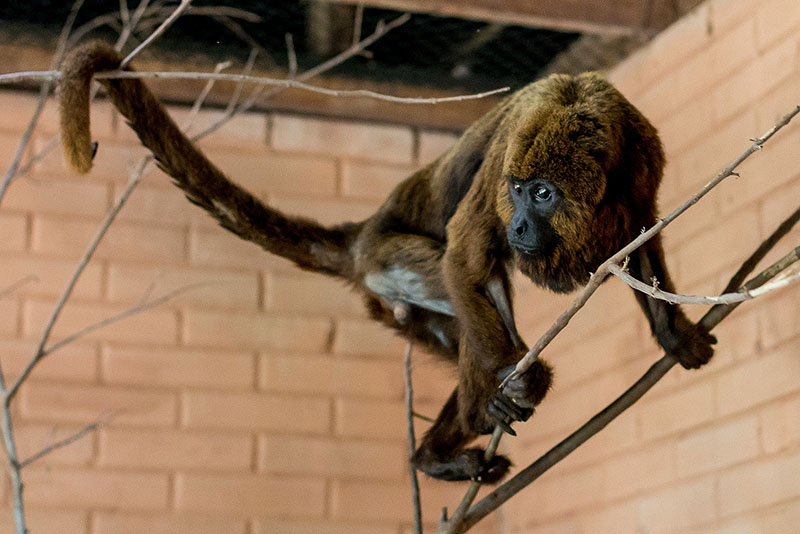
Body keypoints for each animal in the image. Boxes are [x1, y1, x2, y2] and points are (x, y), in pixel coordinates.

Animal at [58, 41, 715, 483]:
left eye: (544, 193)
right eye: (518, 189)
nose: (521, 225)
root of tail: (364, 233)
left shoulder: (645, 157)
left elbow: (644, 235)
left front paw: (673, 334)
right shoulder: (506, 155)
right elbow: (468, 254)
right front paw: (515, 383)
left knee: (462, 324)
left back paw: (434, 456)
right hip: (391, 262)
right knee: (474, 283)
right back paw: (488, 405)